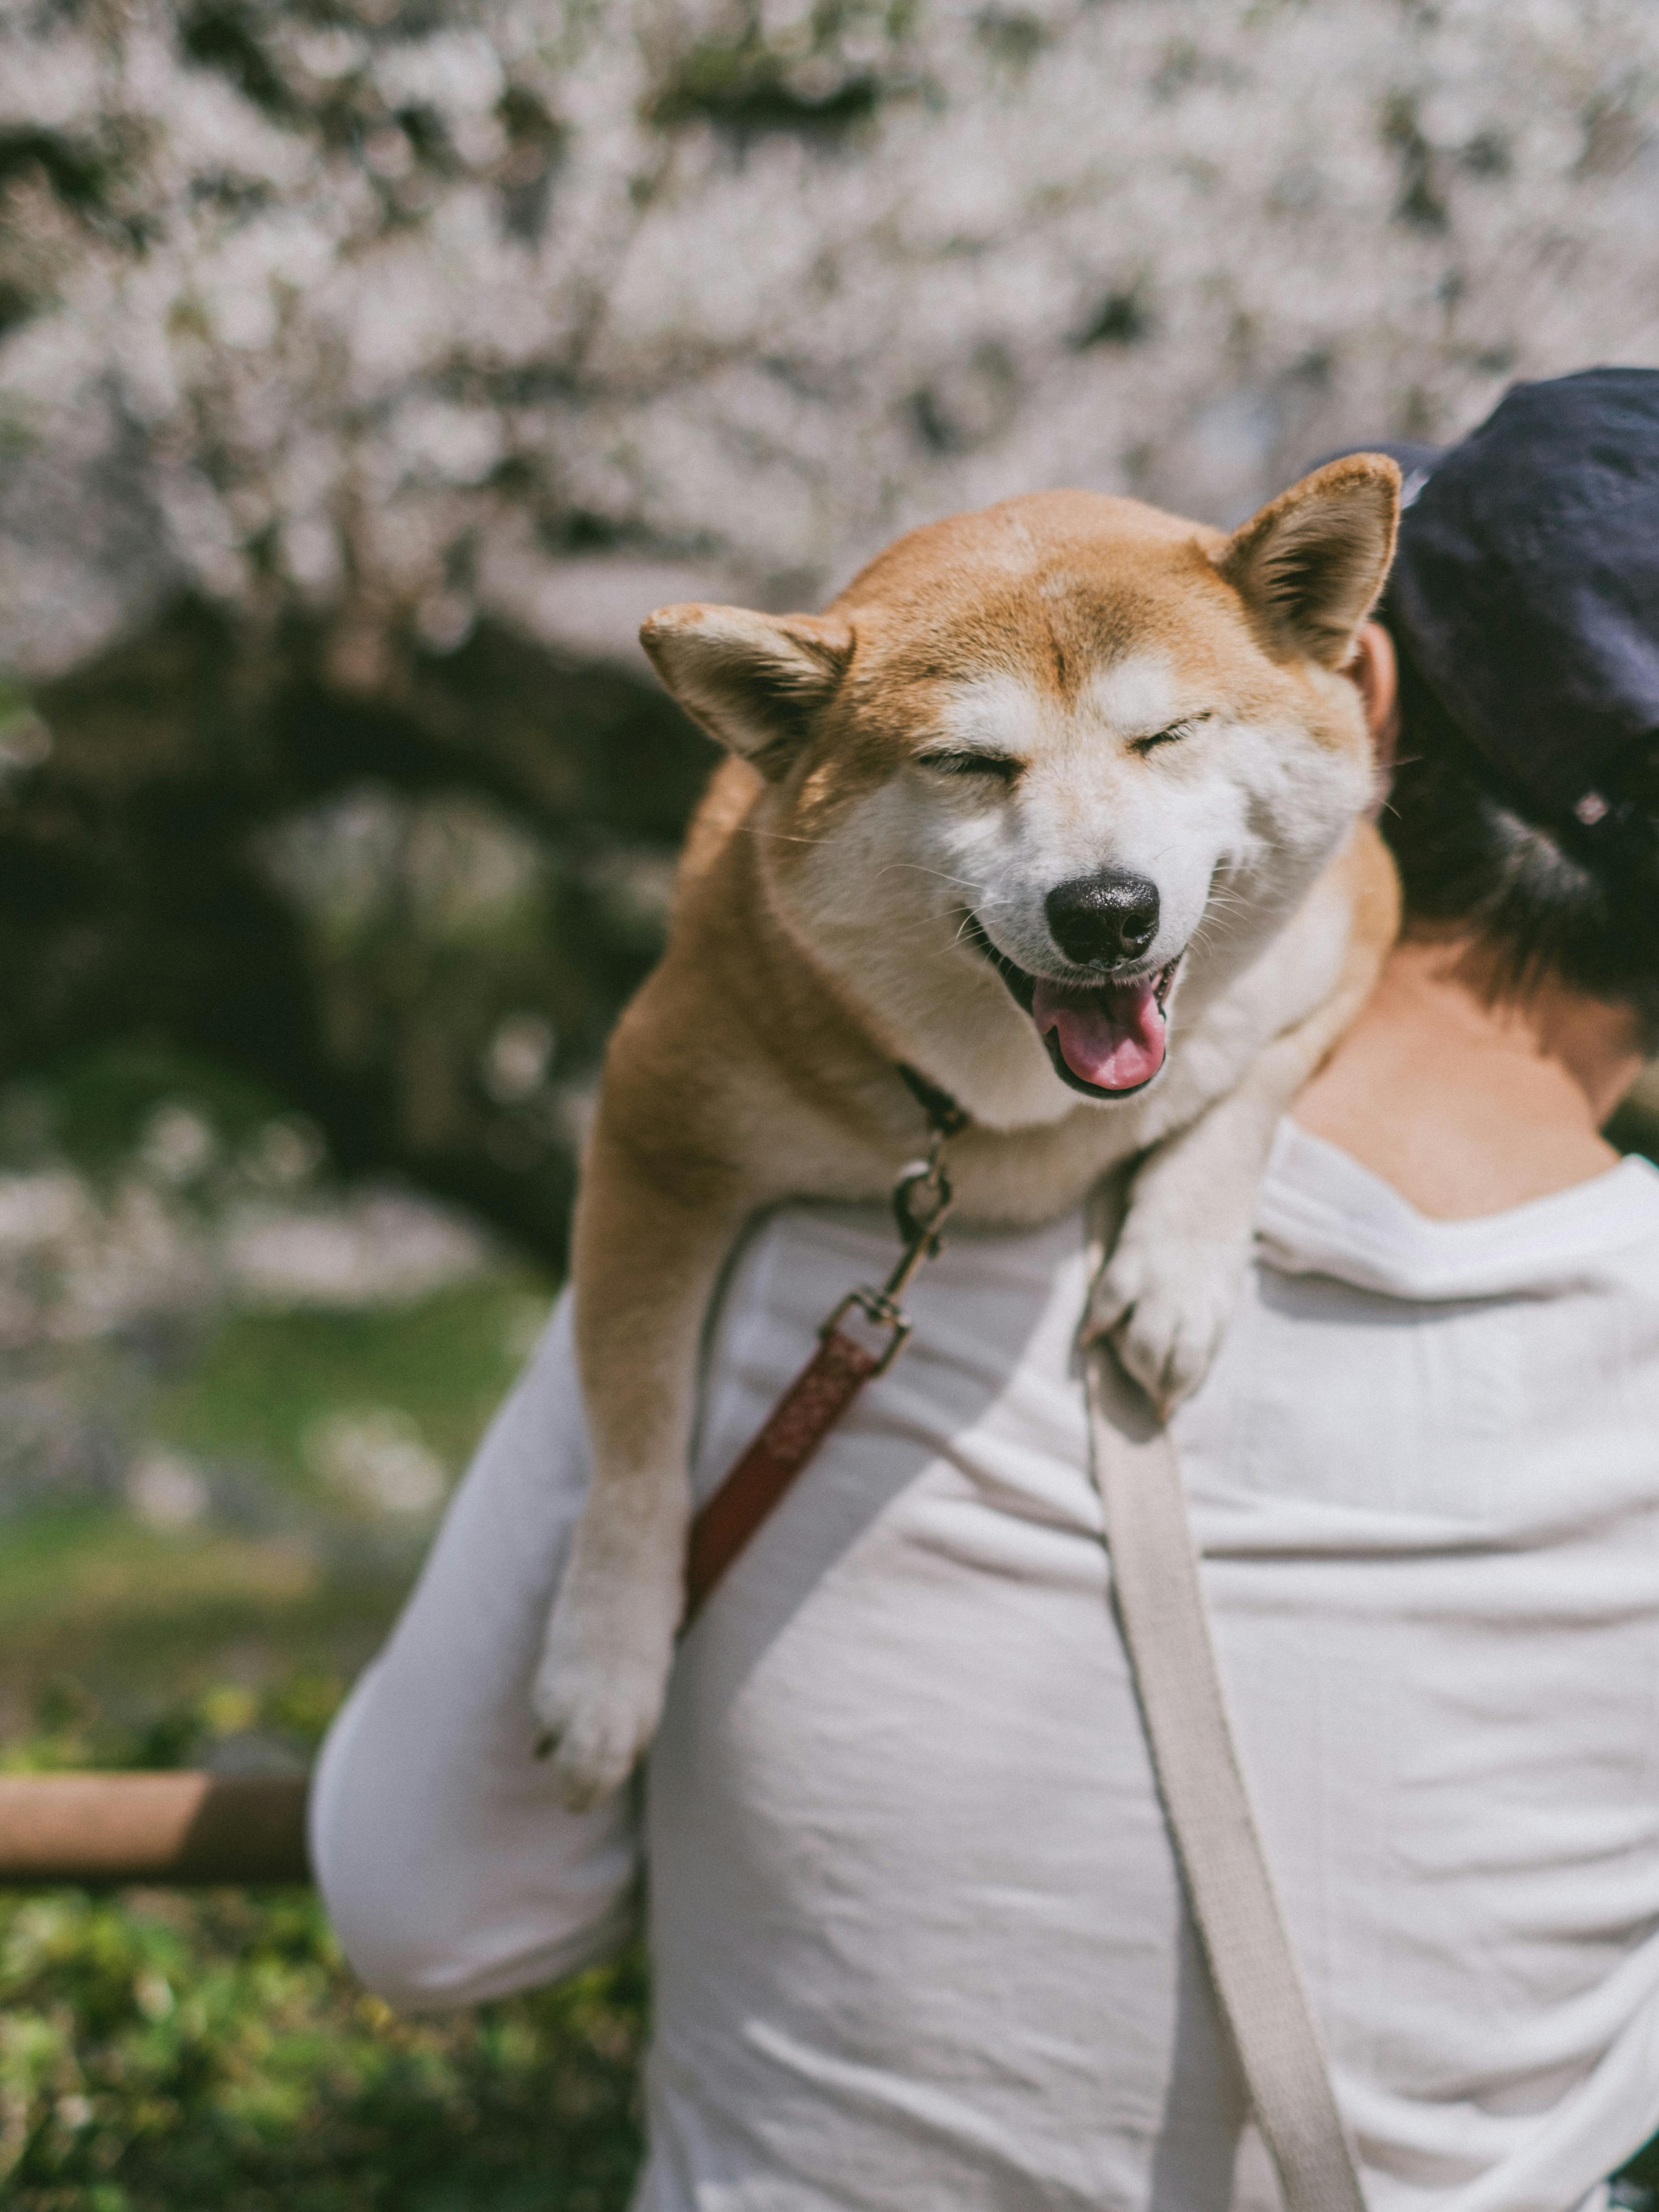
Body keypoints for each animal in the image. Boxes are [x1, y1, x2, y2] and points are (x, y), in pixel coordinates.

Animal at [533, 458, 1406, 1805]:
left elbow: (1249, 1082)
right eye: (969, 764)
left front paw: (1173, 1271)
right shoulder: (656, 1110)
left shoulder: (1353, 921)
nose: (1106, 910)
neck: (1018, 1122)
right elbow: (634, 1426)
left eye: (1170, 734)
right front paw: (604, 1665)